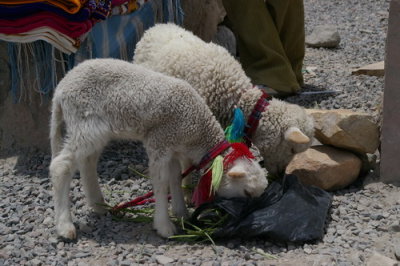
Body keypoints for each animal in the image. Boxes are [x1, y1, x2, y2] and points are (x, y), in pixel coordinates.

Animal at [50, 57, 268, 239]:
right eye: (247, 192)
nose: (244, 216)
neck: (197, 129)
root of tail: (61, 88)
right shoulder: (160, 141)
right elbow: (161, 182)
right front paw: (164, 227)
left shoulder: (172, 147)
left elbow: (175, 177)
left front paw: (181, 213)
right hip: (85, 123)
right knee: (61, 166)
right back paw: (65, 226)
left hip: (94, 131)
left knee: (87, 161)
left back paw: (98, 204)